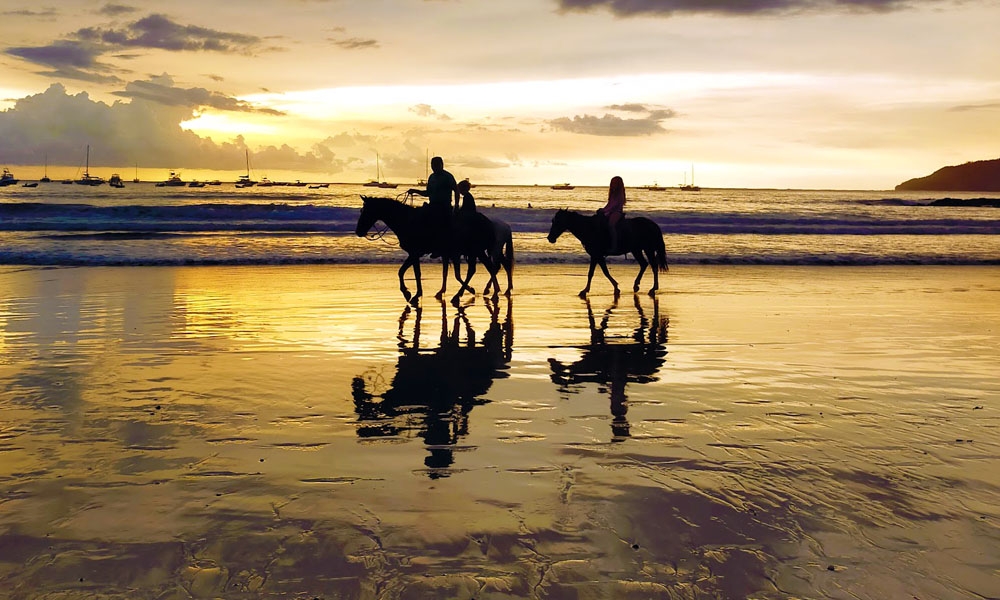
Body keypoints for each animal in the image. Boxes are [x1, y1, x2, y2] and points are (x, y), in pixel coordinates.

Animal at [360, 196, 500, 304]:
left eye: (365, 211)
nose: (358, 231)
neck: (406, 221)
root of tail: (487, 222)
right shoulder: (414, 253)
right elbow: (403, 271)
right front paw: (410, 293)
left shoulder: (415, 253)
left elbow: (414, 273)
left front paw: (412, 294)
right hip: (474, 251)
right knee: (482, 268)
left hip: (476, 250)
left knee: (483, 268)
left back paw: (464, 295)